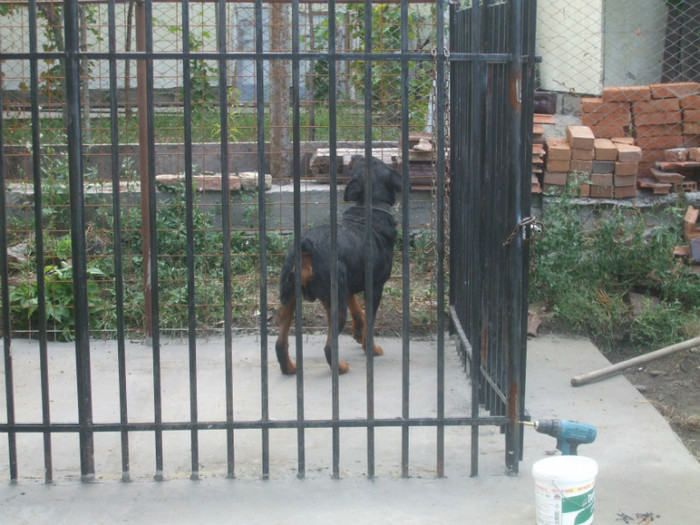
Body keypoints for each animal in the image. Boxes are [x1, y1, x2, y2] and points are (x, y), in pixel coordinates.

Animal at [274, 154, 404, 374]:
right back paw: (341, 368)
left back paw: (290, 369)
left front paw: (358, 333)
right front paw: (371, 348)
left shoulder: (348, 287)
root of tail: (306, 246)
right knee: (329, 347)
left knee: (280, 343)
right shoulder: (375, 287)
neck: (369, 206)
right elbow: (370, 321)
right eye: (377, 160)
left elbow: (359, 312)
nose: (354, 156)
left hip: (288, 296)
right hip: (335, 305)